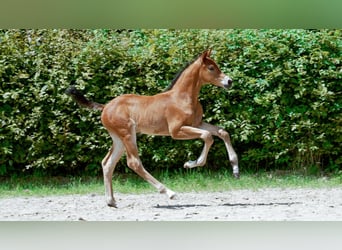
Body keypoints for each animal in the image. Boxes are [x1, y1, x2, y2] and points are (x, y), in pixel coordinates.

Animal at [66, 49, 238, 207]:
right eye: (211, 68)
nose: (229, 81)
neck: (183, 97)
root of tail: (105, 107)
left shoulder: (196, 124)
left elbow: (222, 132)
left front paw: (235, 168)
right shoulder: (176, 131)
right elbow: (207, 136)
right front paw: (190, 163)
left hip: (118, 139)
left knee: (107, 163)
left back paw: (111, 201)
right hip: (128, 134)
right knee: (134, 163)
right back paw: (169, 192)